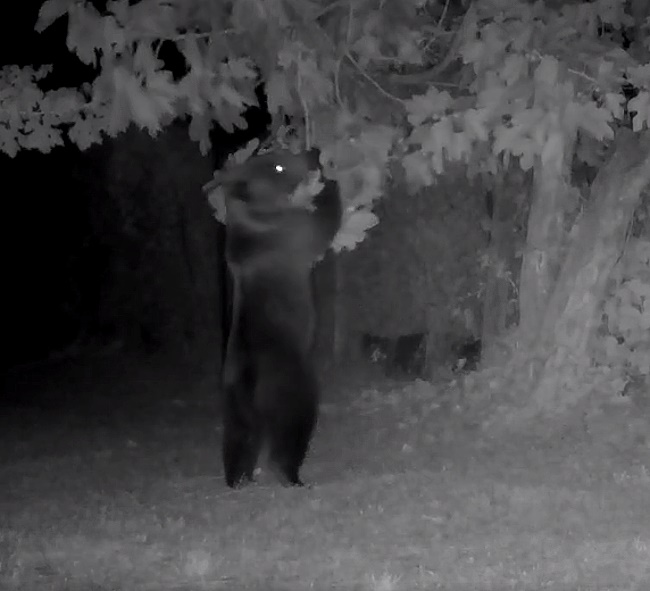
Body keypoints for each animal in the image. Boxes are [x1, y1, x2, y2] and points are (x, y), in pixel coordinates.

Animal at [218, 149, 342, 490]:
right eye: (278, 165)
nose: (312, 152)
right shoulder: (293, 229)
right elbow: (323, 223)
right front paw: (328, 182)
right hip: (291, 388)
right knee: (289, 434)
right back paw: (292, 477)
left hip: (234, 405)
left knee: (239, 440)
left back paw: (239, 478)